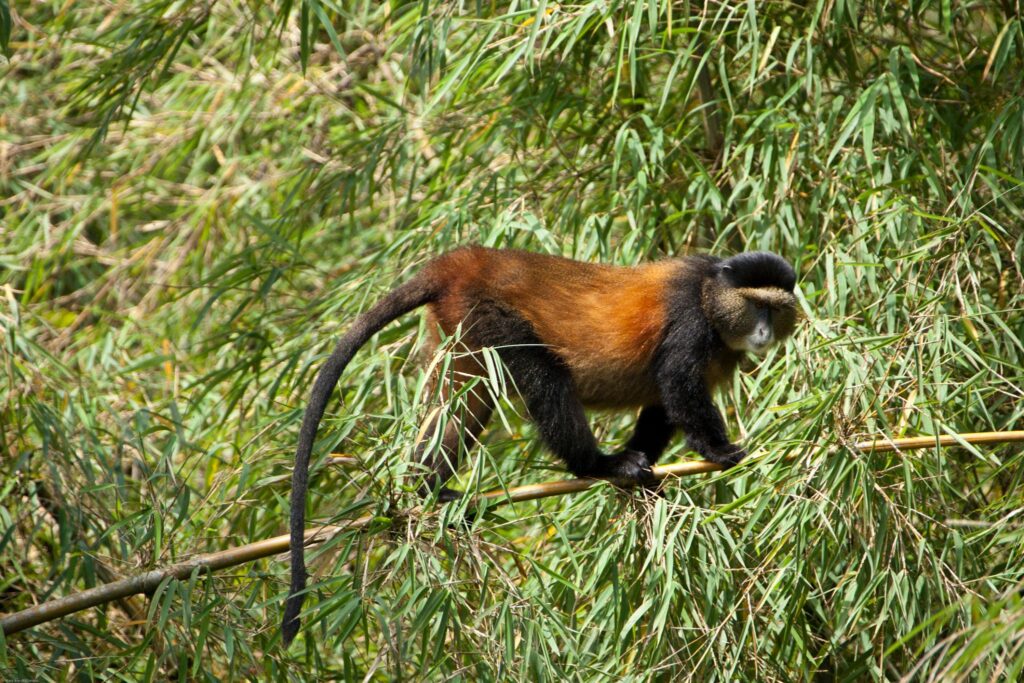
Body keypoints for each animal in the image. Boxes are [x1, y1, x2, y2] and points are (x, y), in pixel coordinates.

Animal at [281, 246, 798, 645]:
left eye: (776, 309)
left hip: (462, 331)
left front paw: (648, 476)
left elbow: (660, 407)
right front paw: (719, 452)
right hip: (492, 319)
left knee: (465, 404)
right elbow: (677, 386)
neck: (712, 294)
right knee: (544, 377)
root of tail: (464, 261)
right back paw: (596, 465)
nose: (763, 333)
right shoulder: (689, 322)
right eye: (756, 306)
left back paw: (427, 490)